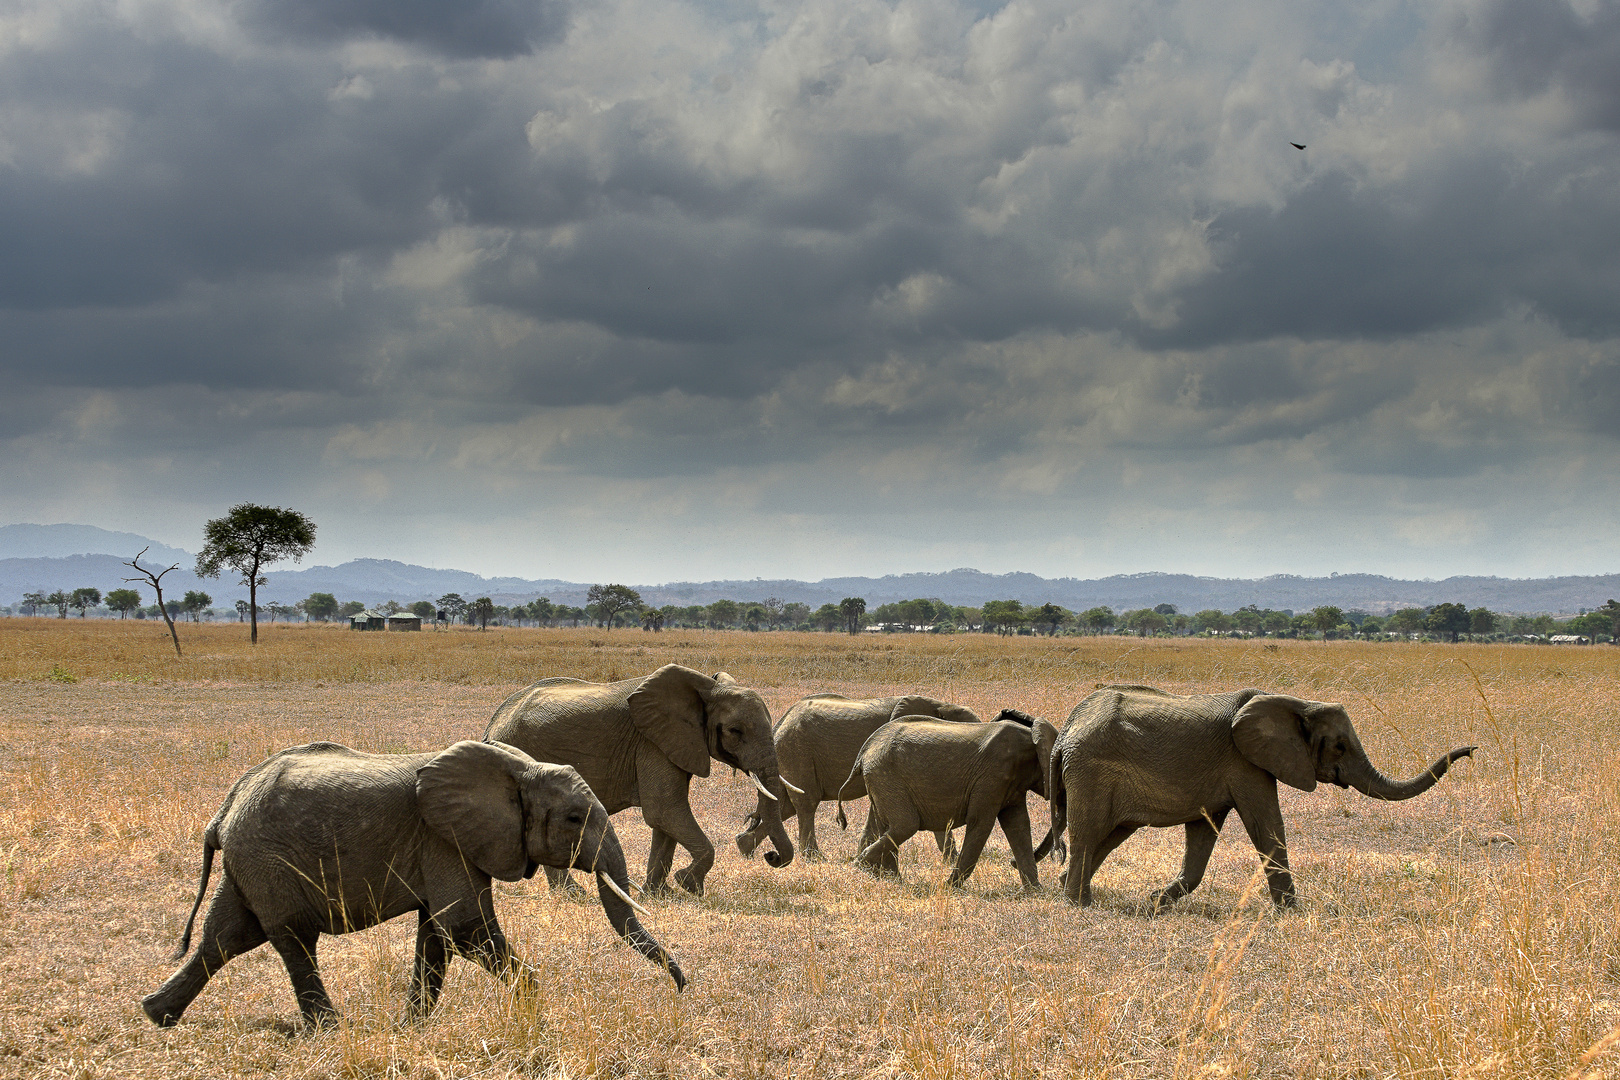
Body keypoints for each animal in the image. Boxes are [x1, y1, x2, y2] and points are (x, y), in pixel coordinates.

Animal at [140, 738, 690, 1029]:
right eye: (575, 818)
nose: (681, 989)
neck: (517, 768)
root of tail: (224, 811)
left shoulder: (447, 845)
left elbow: (436, 934)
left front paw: (412, 1027)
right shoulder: (443, 839)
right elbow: (463, 926)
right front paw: (534, 1004)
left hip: (249, 865)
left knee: (227, 936)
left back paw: (157, 1015)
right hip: (267, 860)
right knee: (292, 937)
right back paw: (331, 1031)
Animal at [482, 663, 793, 900]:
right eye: (735, 731)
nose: (771, 856)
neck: (706, 687)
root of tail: (492, 724)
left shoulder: (671, 743)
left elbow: (665, 819)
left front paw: (658, 894)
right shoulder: (651, 743)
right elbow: (664, 809)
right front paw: (688, 884)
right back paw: (574, 895)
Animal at [732, 696, 978, 867]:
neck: (940, 704)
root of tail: (781, 721)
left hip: (786, 755)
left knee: (784, 807)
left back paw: (745, 848)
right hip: (796, 750)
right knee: (806, 803)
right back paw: (814, 858)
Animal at [835, 709, 1062, 887]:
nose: (1010, 863)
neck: (1030, 737)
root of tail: (864, 751)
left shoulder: (1011, 783)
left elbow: (1018, 825)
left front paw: (1035, 892)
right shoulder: (993, 776)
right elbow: (981, 823)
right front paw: (950, 887)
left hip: (881, 778)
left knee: (890, 826)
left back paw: (888, 878)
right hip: (885, 776)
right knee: (905, 825)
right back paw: (861, 867)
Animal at [1049, 689, 1483, 906]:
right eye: (1339, 746)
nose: (1473, 750)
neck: (1296, 702)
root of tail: (1066, 731)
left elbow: (1203, 834)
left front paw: (1156, 901)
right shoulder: (1245, 762)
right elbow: (1265, 825)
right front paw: (1291, 912)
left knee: (1108, 835)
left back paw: (1070, 889)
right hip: (1090, 770)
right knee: (1088, 833)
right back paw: (1077, 904)